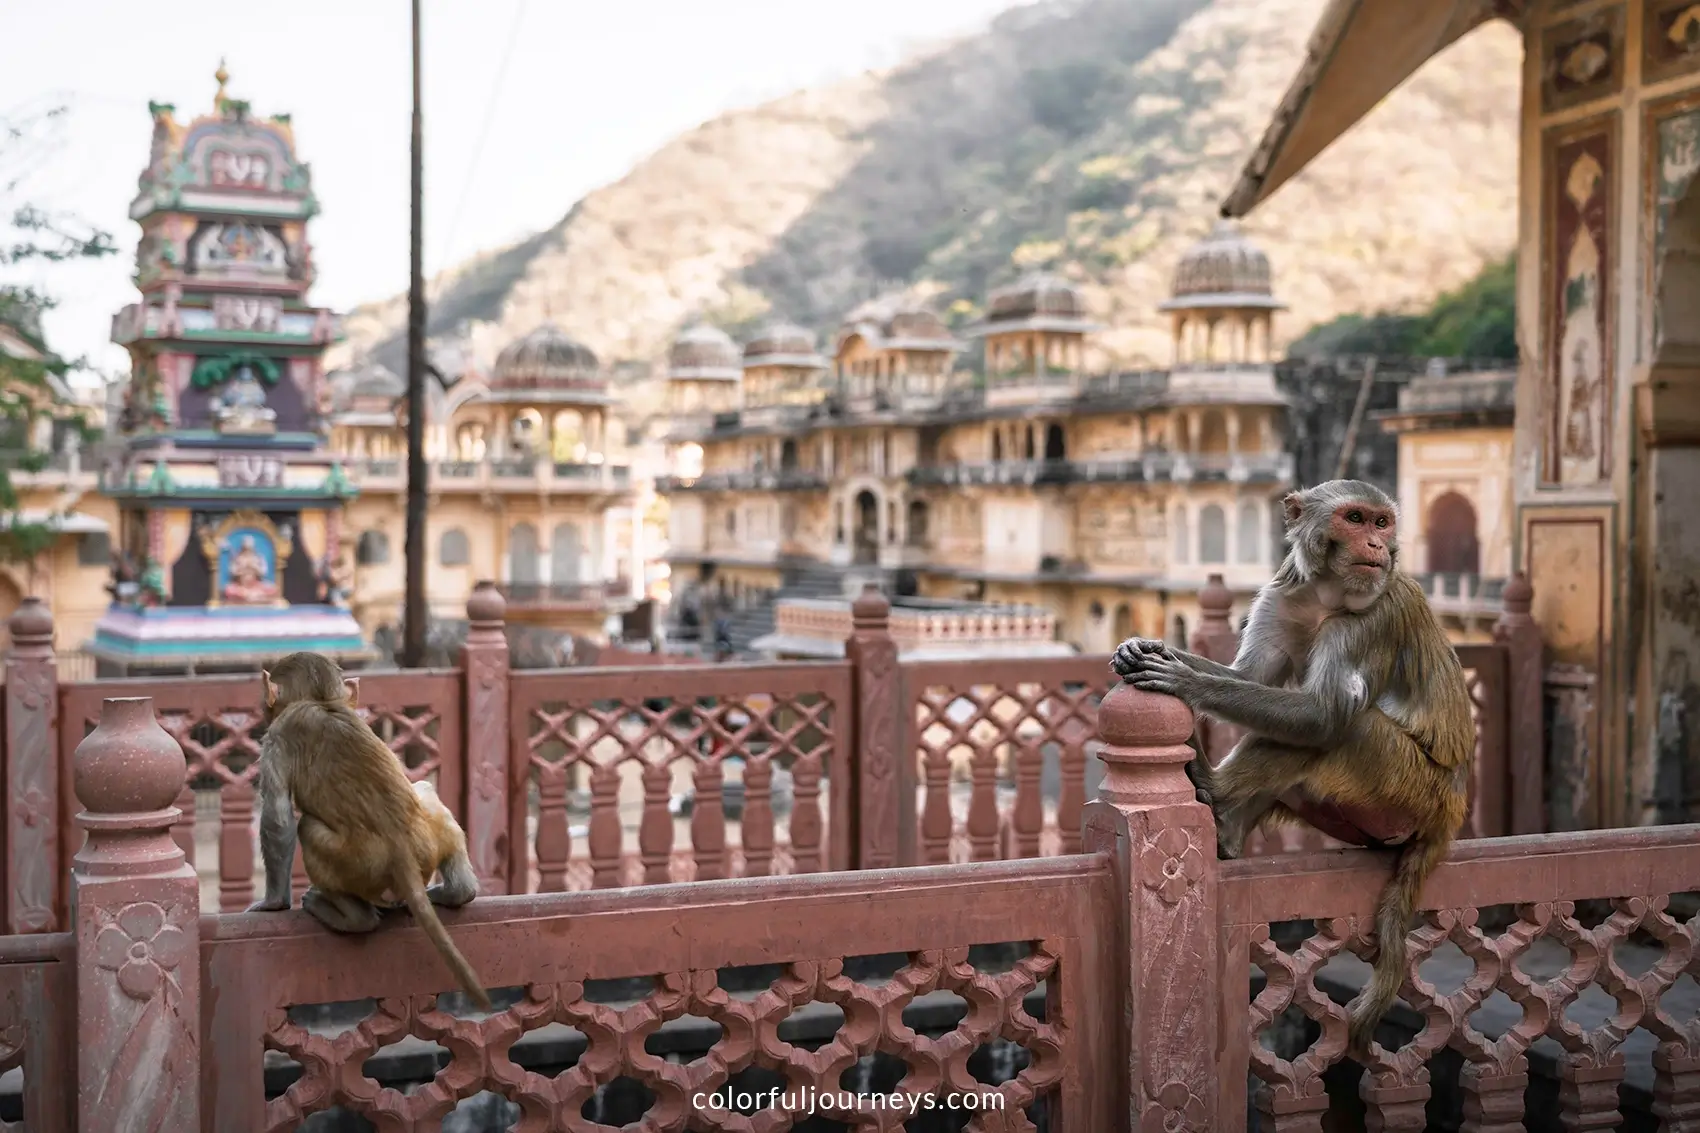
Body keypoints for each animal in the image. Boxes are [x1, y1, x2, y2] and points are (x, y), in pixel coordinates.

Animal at [245, 651, 491, 1010]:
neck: (321, 701)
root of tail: (401, 854)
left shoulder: (278, 735)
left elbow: (278, 818)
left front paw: (273, 903)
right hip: (431, 836)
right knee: (425, 790)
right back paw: (457, 892)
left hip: (355, 865)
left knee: (307, 827)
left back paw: (352, 917)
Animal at [1110, 479, 1473, 1052]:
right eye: (1356, 519)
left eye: (1381, 522)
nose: (1377, 546)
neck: (1327, 595)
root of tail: (1452, 808)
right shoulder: (1281, 595)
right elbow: (1250, 675)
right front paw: (1148, 647)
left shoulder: (1372, 615)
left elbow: (1324, 714)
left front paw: (1182, 681)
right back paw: (1225, 828)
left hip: (1409, 788)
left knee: (1342, 728)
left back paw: (1211, 789)